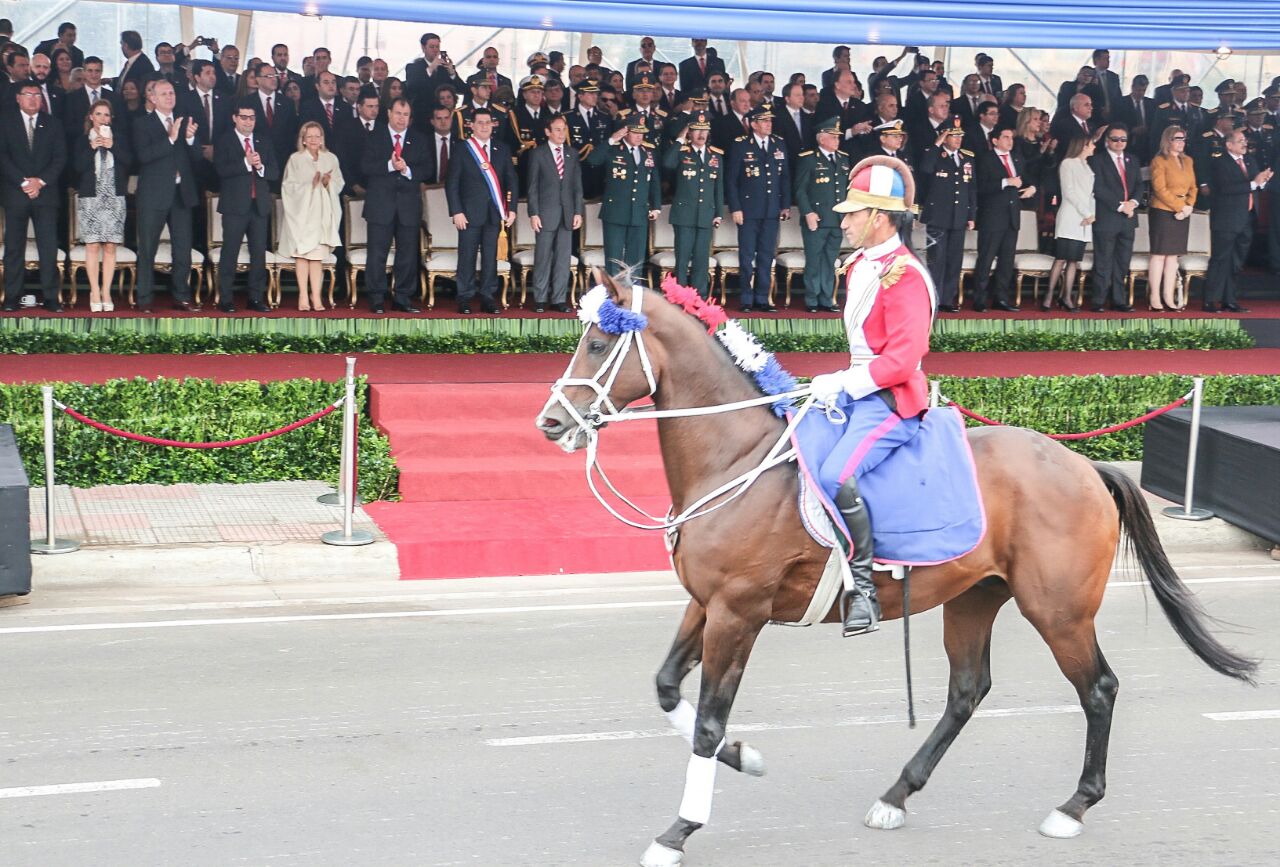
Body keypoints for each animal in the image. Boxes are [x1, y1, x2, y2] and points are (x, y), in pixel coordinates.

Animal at [532, 272, 1259, 865]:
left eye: (599, 342)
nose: (550, 423)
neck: (735, 459)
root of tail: (1084, 464)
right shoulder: (706, 603)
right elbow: (665, 688)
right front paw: (746, 756)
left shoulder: (738, 612)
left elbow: (708, 721)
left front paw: (680, 828)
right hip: (974, 597)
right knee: (967, 691)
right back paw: (897, 793)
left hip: (1059, 611)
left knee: (1099, 689)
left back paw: (1074, 804)